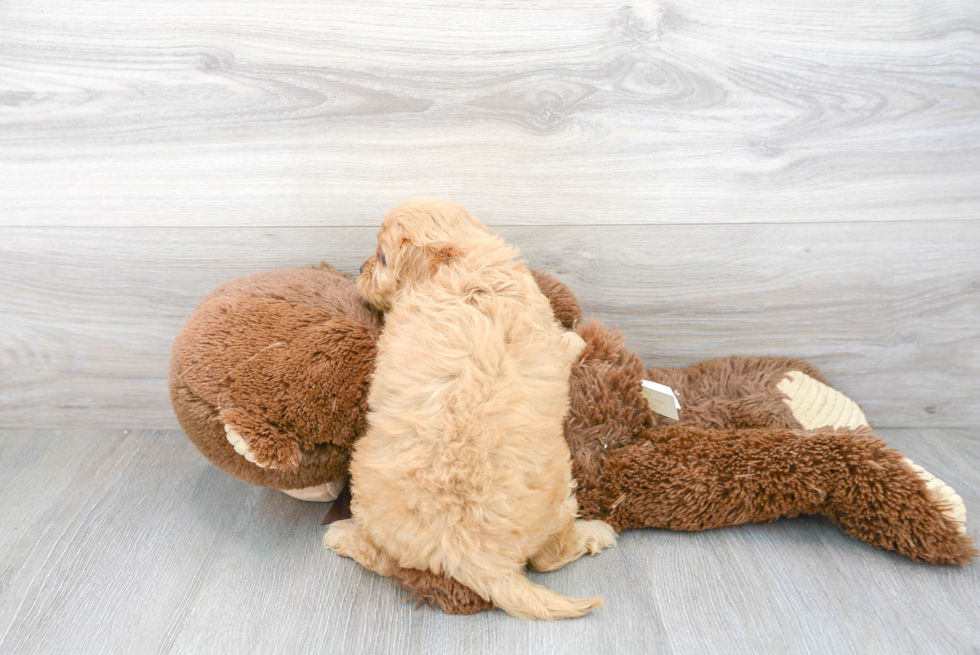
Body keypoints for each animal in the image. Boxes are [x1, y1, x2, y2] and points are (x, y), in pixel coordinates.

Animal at [326, 199, 616, 620]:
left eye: (381, 258)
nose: (359, 270)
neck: (461, 261)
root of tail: (473, 560)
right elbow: (566, 343)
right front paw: (576, 339)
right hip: (559, 492)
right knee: (549, 556)